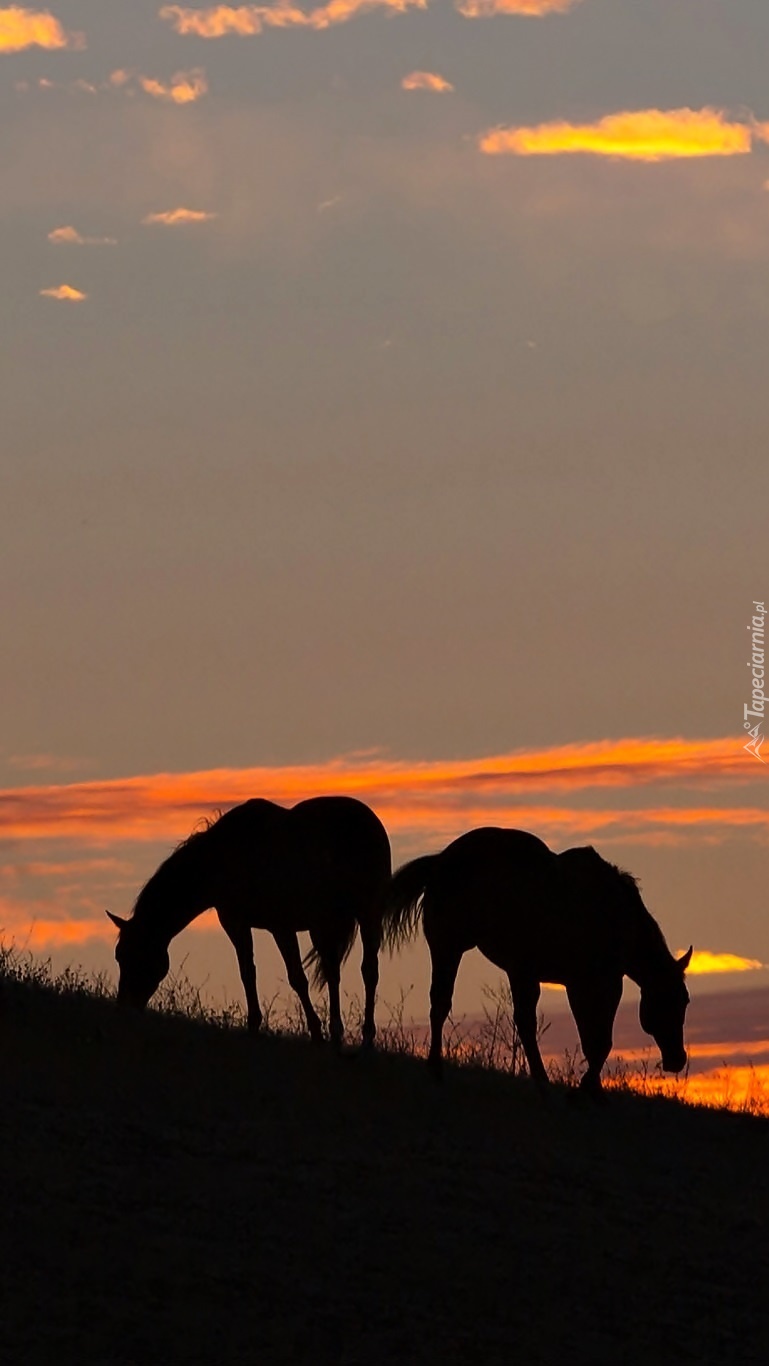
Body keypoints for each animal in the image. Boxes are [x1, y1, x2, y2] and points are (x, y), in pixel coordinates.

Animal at [105, 792, 390, 1043]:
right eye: (118, 955)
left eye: (134, 955)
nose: (124, 1007)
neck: (225, 858)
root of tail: (368, 821)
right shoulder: (237, 923)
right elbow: (247, 972)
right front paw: (254, 1026)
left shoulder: (278, 926)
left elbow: (296, 977)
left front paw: (316, 1033)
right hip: (324, 924)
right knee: (333, 971)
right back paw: (337, 1033)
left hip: (368, 913)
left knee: (369, 971)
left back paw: (366, 1037)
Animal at [385, 819, 691, 1098]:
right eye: (675, 1000)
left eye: (685, 1000)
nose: (678, 1060)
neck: (614, 915)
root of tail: (441, 860)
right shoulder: (595, 984)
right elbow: (600, 1041)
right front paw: (585, 1090)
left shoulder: (575, 983)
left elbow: (591, 1038)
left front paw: (592, 1089)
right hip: (449, 946)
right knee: (443, 1004)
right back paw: (441, 1069)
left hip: (511, 969)